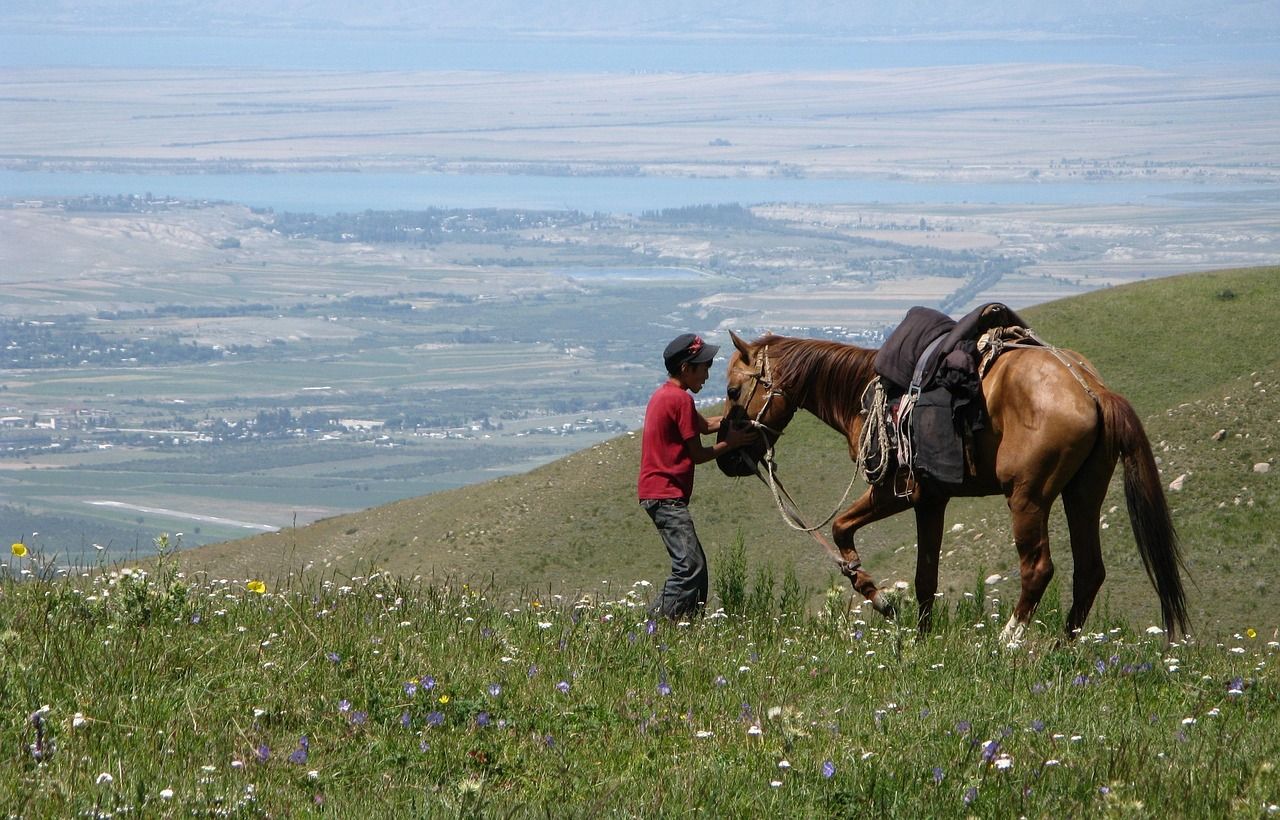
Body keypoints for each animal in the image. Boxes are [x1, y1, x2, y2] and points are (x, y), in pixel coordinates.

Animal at [720, 329, 1189, 643]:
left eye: (732, 389)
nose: (726, 458)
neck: (861, 395)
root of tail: (1091, 390)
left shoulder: (893, 493)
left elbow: (840, 529)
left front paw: (880, 598)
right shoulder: (931, 500)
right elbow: (925, 576)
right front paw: (921, 639)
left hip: (1028, 498)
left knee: (1038, 569)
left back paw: (1008, 641)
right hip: (1083, 494)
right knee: (1089, 570)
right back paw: (1062, 647)